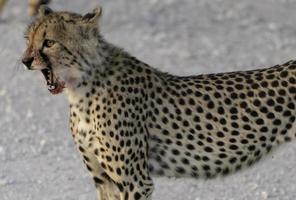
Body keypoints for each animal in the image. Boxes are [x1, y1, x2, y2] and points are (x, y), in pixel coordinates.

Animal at [22, 5, 296, 200]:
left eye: (49, 42)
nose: (24, 60)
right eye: (28, 39)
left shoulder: (135, 182)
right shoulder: (103, 180)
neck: (82, 88)